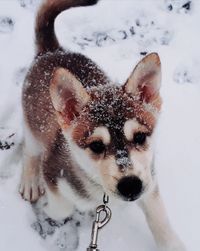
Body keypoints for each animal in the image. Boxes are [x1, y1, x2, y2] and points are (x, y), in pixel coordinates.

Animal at [19, 0, 187, 250]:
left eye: (140, 137)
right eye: (96, 146)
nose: (130, 186)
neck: (100, 188)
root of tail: (52, 51)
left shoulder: (149, 178)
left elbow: (159, 216)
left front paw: (172, 243)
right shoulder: (53, 170)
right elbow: (61, 208)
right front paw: (49, 209)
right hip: (32, 123)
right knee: (30, 149)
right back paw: (30, 180)